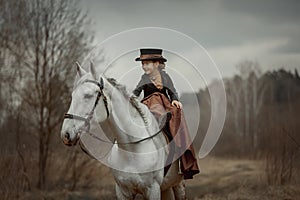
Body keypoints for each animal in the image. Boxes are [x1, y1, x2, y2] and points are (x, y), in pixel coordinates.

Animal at [61, 63, 185, 200]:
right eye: (73, 96)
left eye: (87, 95)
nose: (66, 134)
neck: (131, 149)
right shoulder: (122, 191)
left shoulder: (153, 190)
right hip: (166, 188)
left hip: (178, 185)